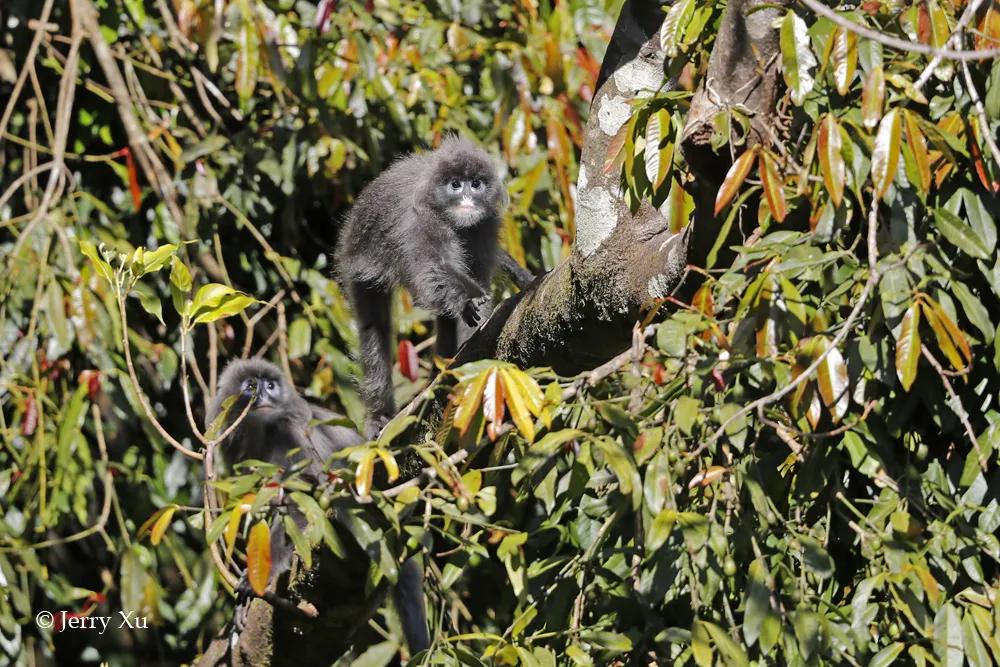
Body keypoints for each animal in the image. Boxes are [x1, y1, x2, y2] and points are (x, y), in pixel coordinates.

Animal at [207, 360, 430, 656]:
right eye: (251, 386)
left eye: (270, 385)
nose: (264, 395)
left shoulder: (287, 431)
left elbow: (305, 500)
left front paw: (261, 577)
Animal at [336, 137, 528, 438]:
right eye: (455, 185)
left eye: (475, 184)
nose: (466, 199)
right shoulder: (420, 219)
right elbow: (434, 269)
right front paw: (468, 297)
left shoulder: (485, 225)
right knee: (374, 326)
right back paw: (380, 416)